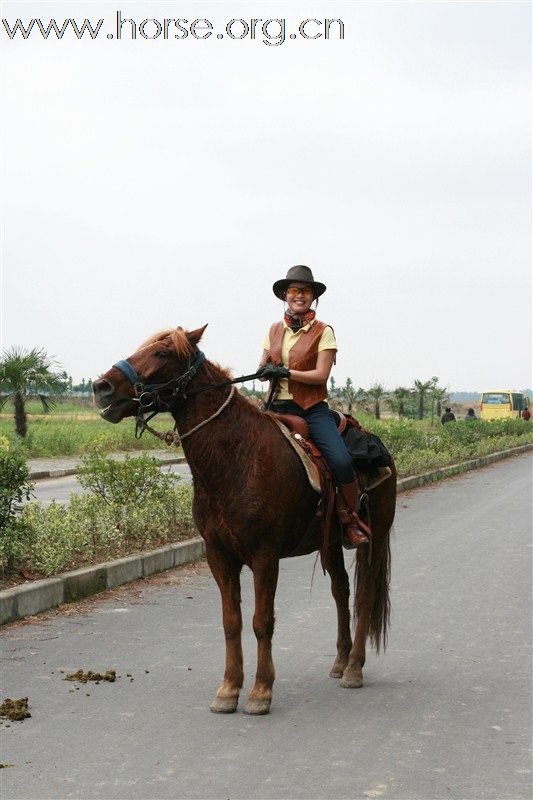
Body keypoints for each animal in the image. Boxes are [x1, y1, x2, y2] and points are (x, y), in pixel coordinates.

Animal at [93, 328, 396, 716]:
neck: (235, 459)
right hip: (329, 541)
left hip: (374, 538)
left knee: (364, 595)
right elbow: (231, 622)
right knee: (341, 590)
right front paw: (228, 689)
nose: (102, 387)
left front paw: (261, 691)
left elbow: (261, 622)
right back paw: (341, 661)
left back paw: (355, 668)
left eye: (161, 353)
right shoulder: (219, 556)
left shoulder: (264, 556)